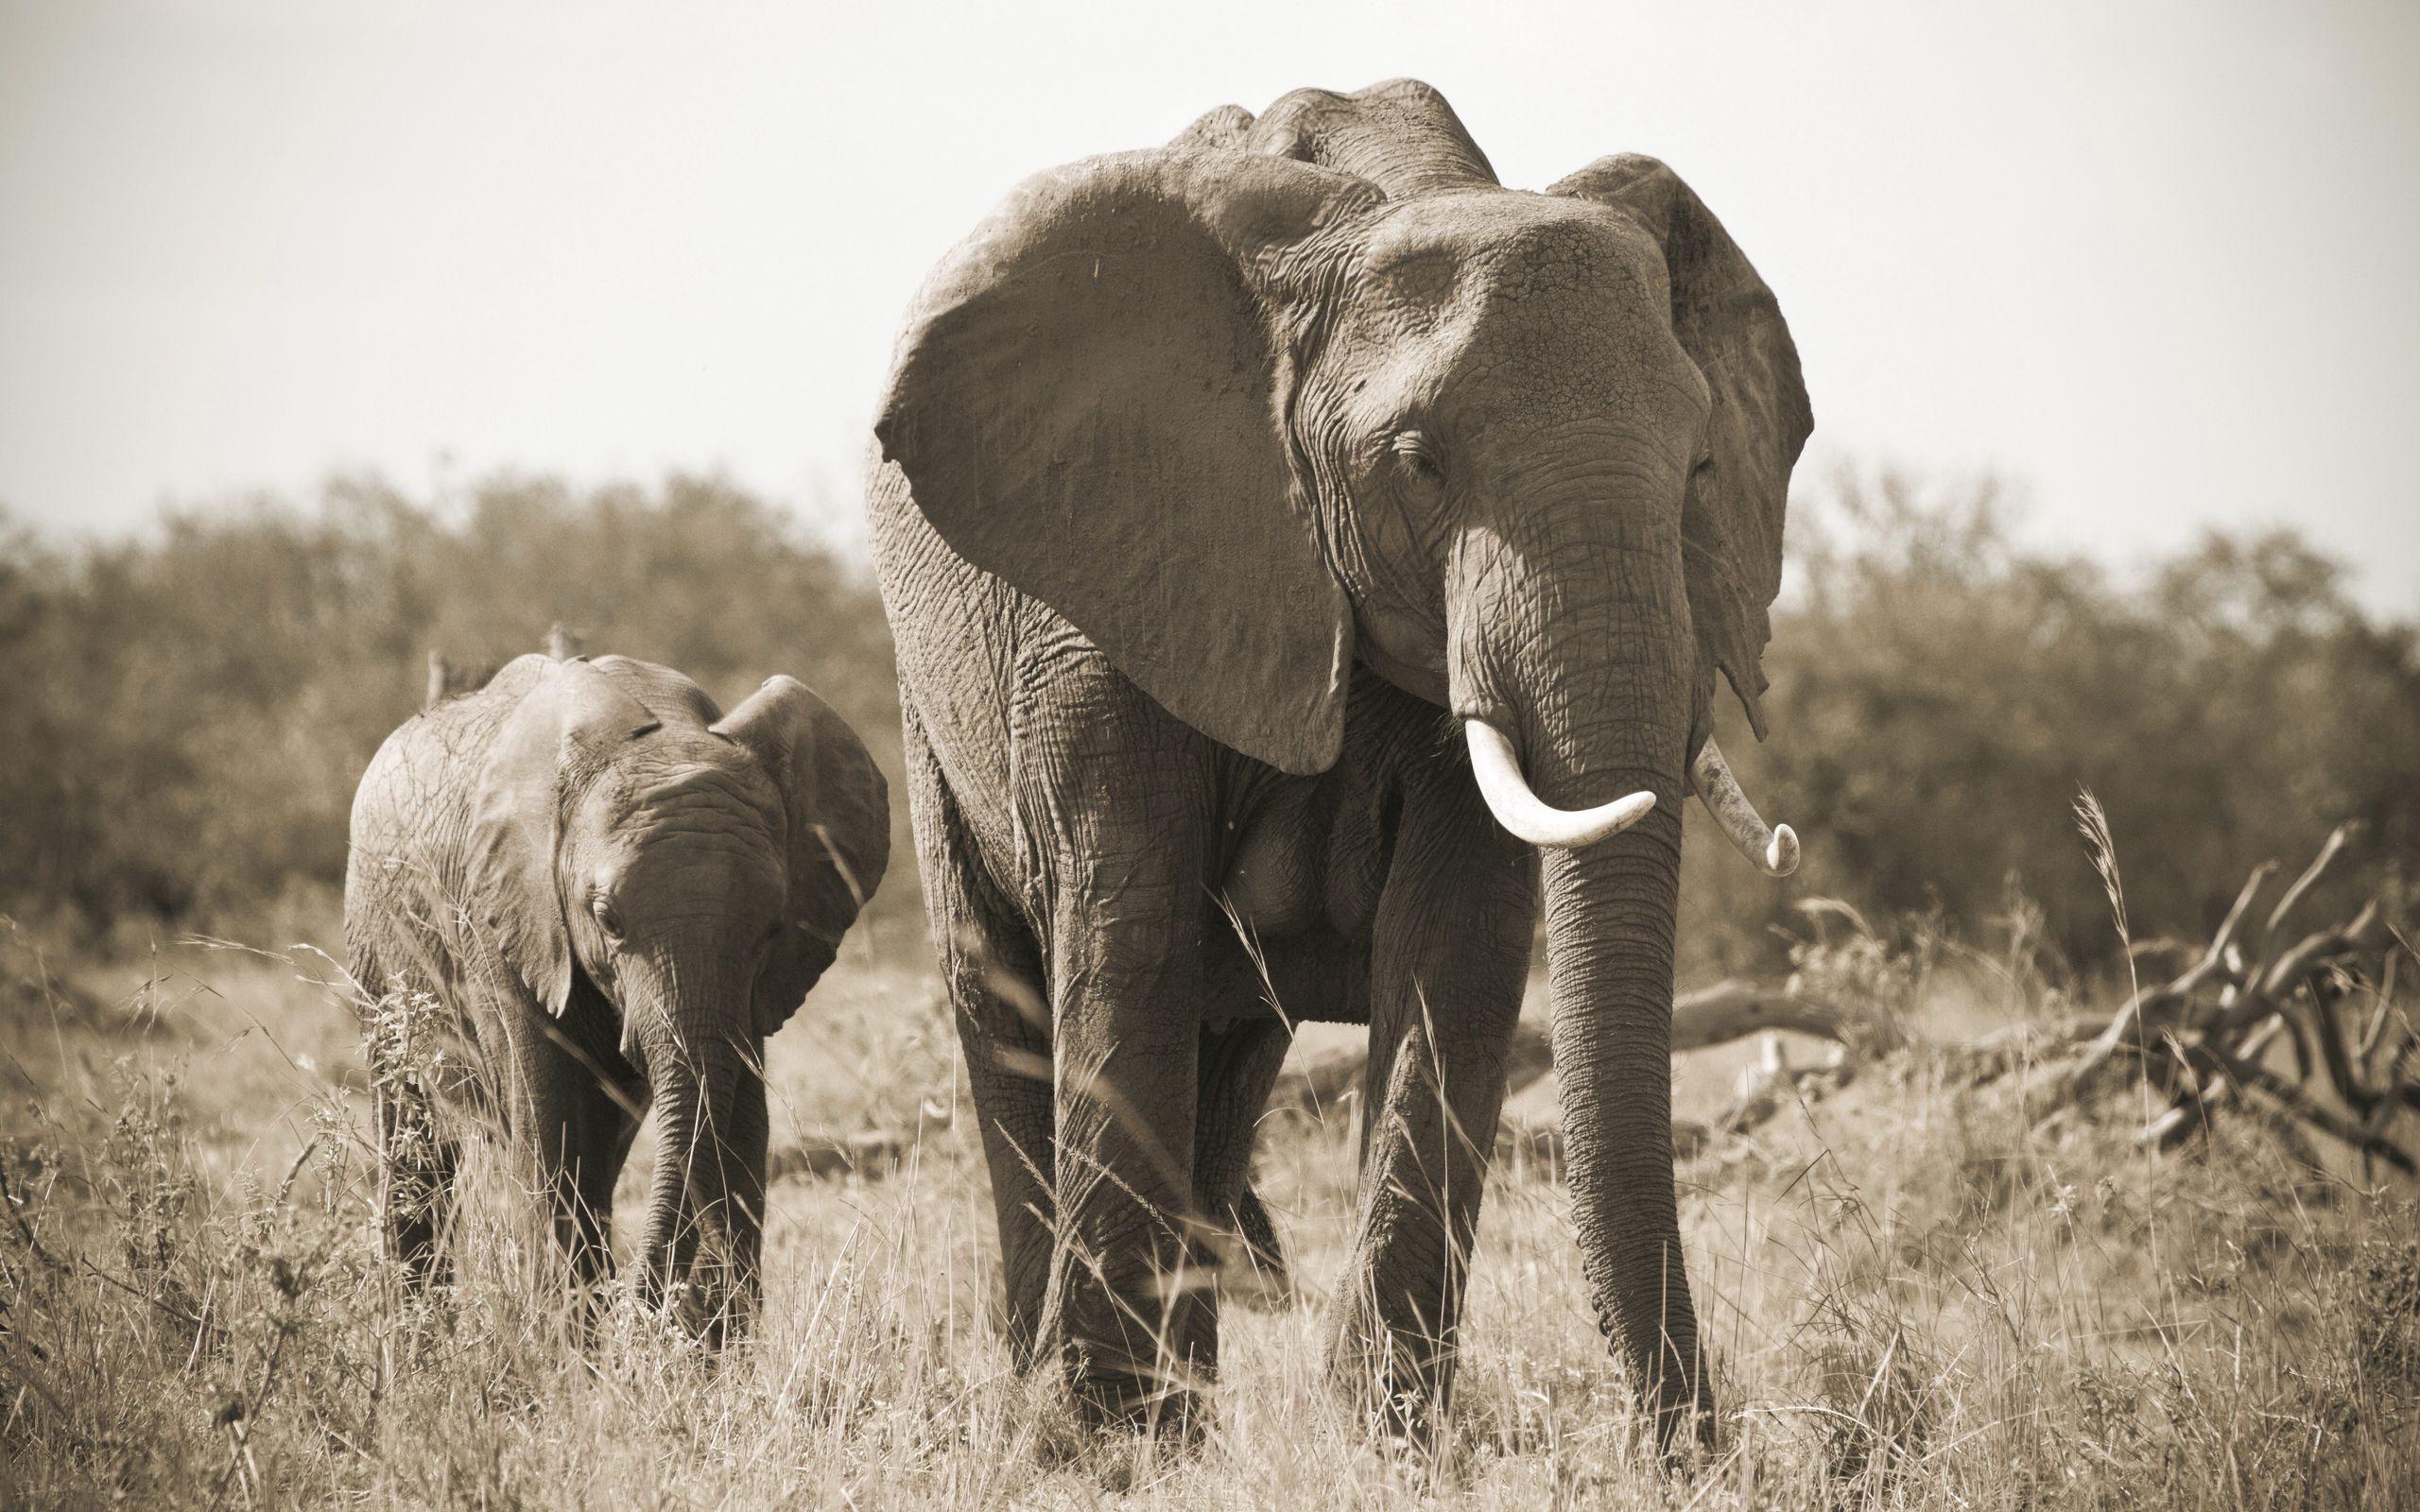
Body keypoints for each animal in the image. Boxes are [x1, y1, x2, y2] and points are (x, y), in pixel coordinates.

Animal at [343, 650, 888, 1337]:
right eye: (607, 919)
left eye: (770, 928)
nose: (650, 1305)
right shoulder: (501, 917)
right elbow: (551, 1133)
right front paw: (573, 1353)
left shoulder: (752, 988)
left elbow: (739, 1128)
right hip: (375, 945)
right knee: (415, 1140)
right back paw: (421, 1339)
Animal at [867, 77, 1809, 1444]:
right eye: (1419, 461)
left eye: (1698, 466)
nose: (1688, 1442)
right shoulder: (1113, 576)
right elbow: (1126, 930)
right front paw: (1086, 1445)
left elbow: (1456, 944)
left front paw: (1388, 1438)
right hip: (924, 696)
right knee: (1005, 996)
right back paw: (1075, 1395)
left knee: (1230, 1053)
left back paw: (1183, 1413)